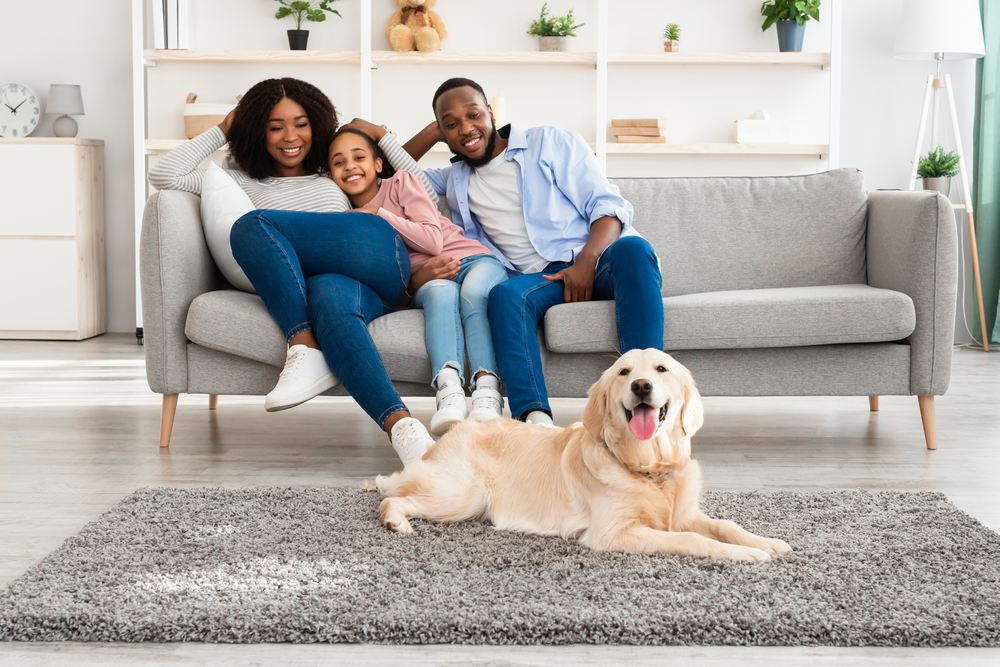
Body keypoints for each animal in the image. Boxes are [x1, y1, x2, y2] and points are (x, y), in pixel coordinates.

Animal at [376, 350, 788, 564]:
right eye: (624, 372)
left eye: (661, 369)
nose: (641, 386)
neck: (648, 469)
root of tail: (448, 436)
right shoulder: (612, 533)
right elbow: (692, 540)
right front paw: (744, 554)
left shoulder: (683, 514)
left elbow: (724, 524)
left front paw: (766, 542)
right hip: (464, 495)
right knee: (392, 498)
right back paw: (397, 522)